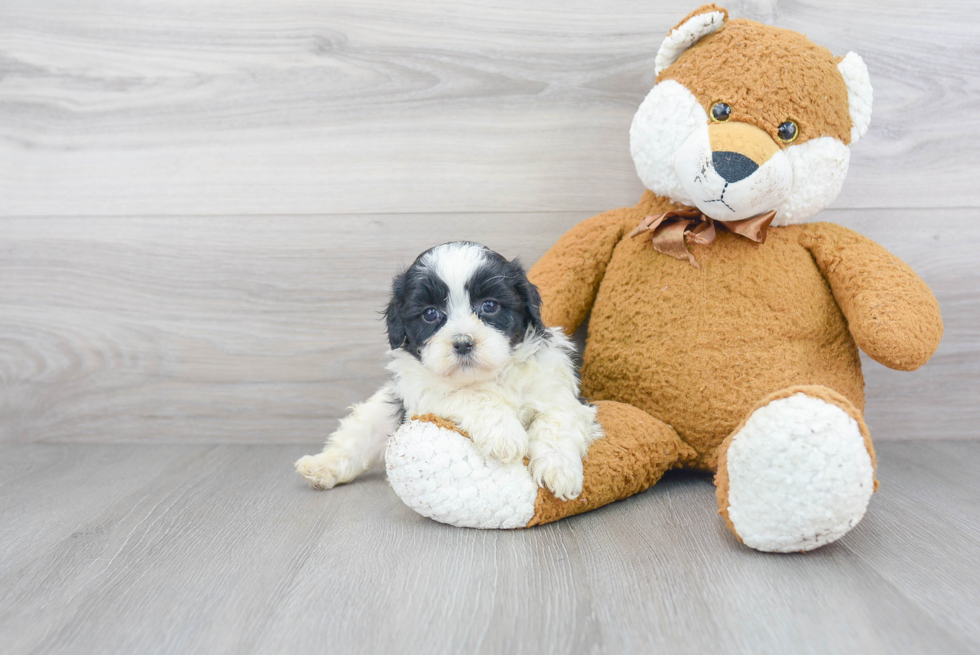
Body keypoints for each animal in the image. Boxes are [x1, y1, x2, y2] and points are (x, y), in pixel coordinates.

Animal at [296, 243, 604, 500]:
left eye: (489, 306)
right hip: (378, 415)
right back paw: (321, 467)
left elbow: (557, 419)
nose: (463, 342)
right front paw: (504, 435)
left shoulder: (555, 389)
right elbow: (473, 395)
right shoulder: (423, 396)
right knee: (355, 440)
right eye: (430, 314)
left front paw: (560, 470)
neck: (490, 376)